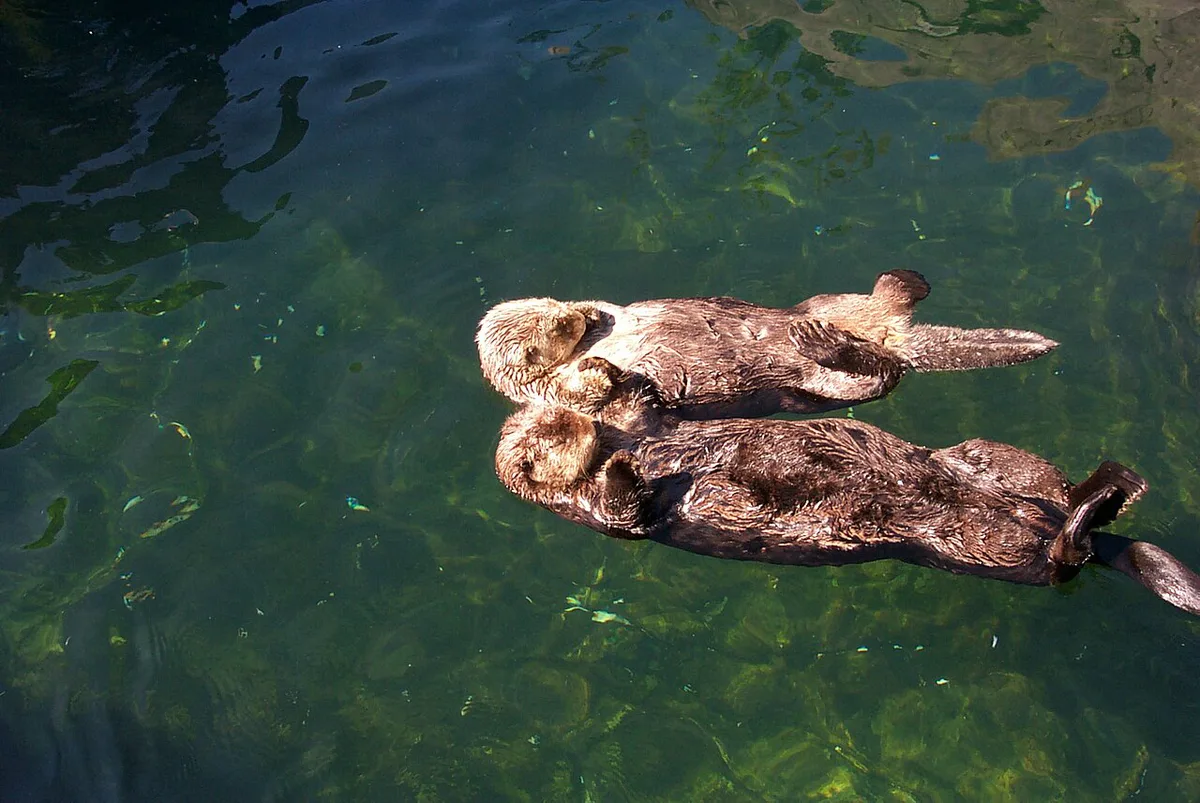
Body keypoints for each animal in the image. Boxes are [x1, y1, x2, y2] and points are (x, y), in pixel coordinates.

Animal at [476, 270, 1058, 419]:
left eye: (558, 313)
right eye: (557, 331)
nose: (574, 317)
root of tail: (892, 336)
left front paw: (594, 310)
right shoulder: (552, 395)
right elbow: (603, 401)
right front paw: (603, 372)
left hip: (824, 298)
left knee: (887, 299)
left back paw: (904, 281)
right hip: (827, 385)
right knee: (874, 372)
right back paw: (823, 341)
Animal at [495, 404, 1200, 617]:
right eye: (550, 437)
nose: (580, 422)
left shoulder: (647, 425)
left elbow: (645, 413)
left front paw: (616, 388)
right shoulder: (598, 510)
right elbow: (626, 511)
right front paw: (625, 468)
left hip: (991, 462)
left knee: (1045, 486)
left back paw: (1113, 484)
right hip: (967, 541)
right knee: (1059, 561)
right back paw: (1100, 505)